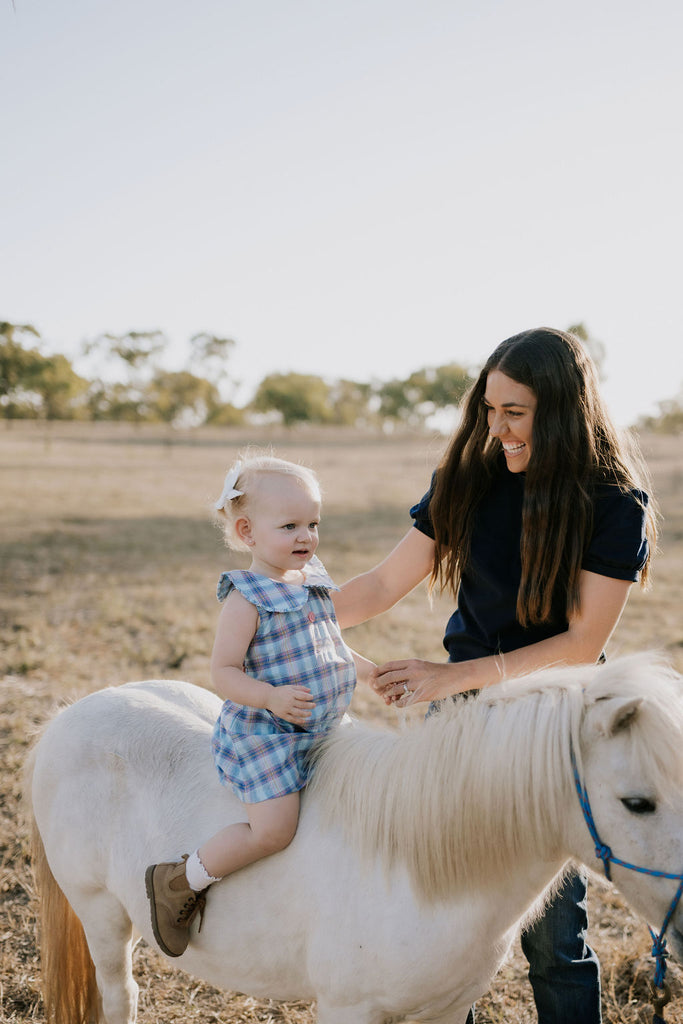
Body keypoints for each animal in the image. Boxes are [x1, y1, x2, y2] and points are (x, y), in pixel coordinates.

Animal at [26, 655, 683, 1024]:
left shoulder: (445, 1012)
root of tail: (68, 715)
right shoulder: (348, 1009)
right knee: (121, 996)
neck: (420, 869)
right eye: (638, 803)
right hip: (101, 917)